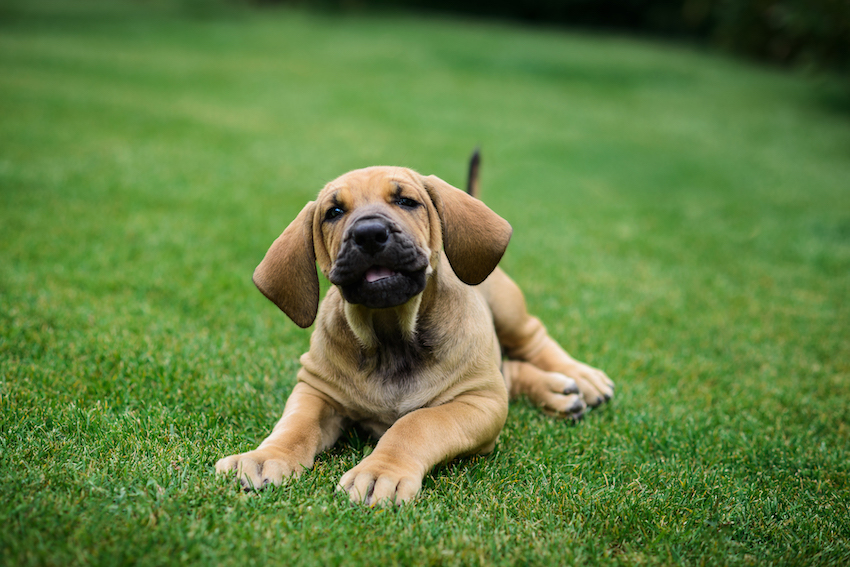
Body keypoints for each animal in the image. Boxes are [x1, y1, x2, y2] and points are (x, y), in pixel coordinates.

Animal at [212, 154, 608, 506]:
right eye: (333, 212)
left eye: (406, 201)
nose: (369, 234)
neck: (390, 338)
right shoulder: (316, 388)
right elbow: (295, 425)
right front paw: (264, 457)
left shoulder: (478, 401)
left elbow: (415, 424)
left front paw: (379, 472)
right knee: (509, 370)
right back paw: (558, 392)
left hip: (508, 314)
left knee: (532, 340)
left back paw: (580, 378)